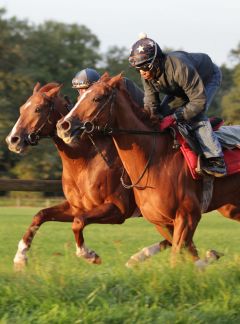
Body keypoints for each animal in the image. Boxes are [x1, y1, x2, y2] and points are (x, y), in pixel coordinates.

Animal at [6, 83, 169, 268]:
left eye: (38, 109)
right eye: (21, 109)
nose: (12, 140)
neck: (84, 161)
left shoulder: (117, 209)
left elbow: (78, 222)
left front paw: (89, 254)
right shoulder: (77, 207)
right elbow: (40, 215)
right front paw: (20, 256)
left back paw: (139, 256)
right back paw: (138, 257)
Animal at [57, 74, 240, 264]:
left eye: (97, 98)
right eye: (79, 97)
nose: (64, 126)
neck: (157, 161)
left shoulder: (187, 215)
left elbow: (178, 257)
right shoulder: (161, 221)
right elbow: (188, 254)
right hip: (232, 208)